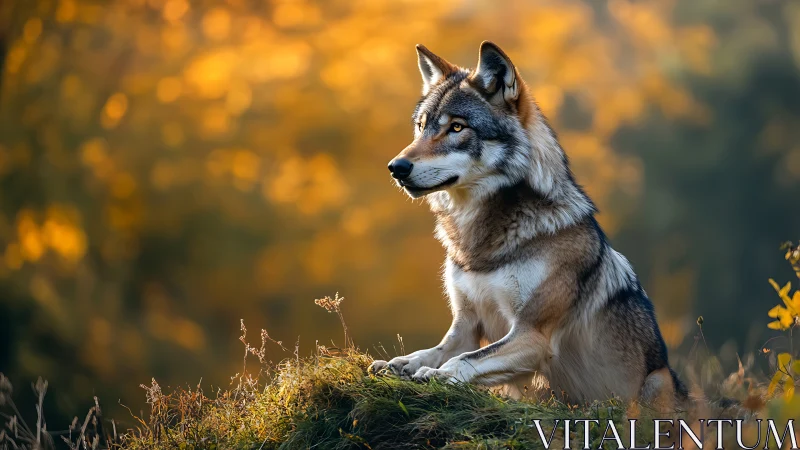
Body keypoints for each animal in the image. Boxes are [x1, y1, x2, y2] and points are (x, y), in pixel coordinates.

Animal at [369, 41, 688, 408]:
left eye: (457, 128)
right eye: (422, 127)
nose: (396, 167)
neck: (479, 242)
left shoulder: (531, 335)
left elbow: (462, 360)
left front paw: (435, 375)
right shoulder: (465, 326)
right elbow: (432, 352)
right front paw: (398, 365)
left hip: (658, 380)